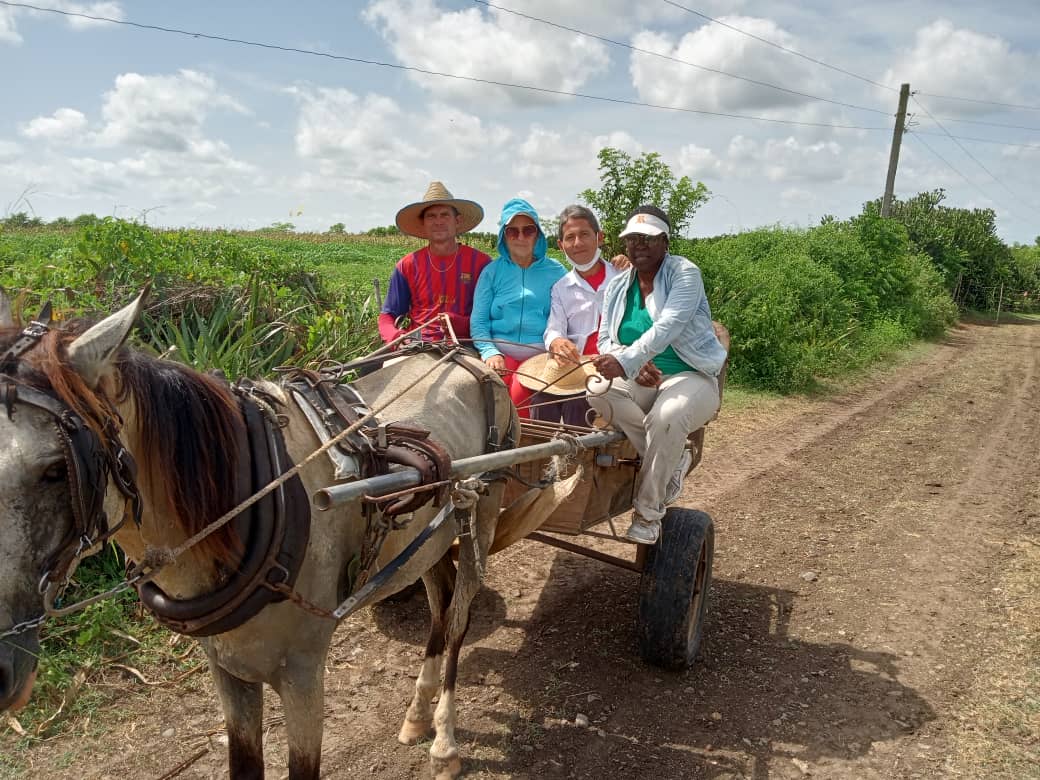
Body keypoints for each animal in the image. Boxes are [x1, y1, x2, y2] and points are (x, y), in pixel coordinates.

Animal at [0, 291, 578, 777]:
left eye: (56, 468)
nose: (1, 669)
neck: (245, 505)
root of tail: (467, 357)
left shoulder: (303, 674)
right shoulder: (228, 669)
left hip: (482, 513)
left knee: (458, 618)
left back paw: (444, 740)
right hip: (432, 536)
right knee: (438, 606)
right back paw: (417, 714)